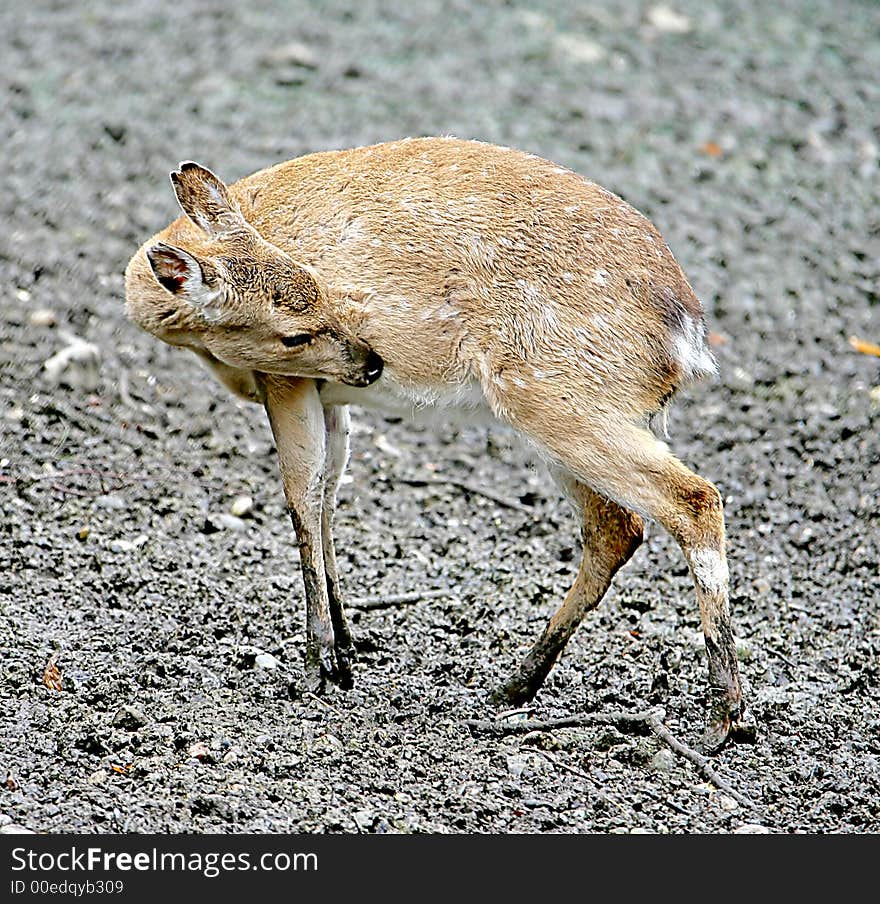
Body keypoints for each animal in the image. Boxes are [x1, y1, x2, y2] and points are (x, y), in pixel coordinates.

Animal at [124, 138, 748, 752]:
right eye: (301, 315)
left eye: (315, 298)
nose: (373, 362)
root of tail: (687, 335)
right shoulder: (328, 394)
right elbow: (327, 496)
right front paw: (346, 649)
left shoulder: (285, 380)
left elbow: (301, 495)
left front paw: (318, 665)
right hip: (583, 412)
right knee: (616, 527)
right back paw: (515, 684)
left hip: (558, 396)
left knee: (691, 499)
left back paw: (724, 717)